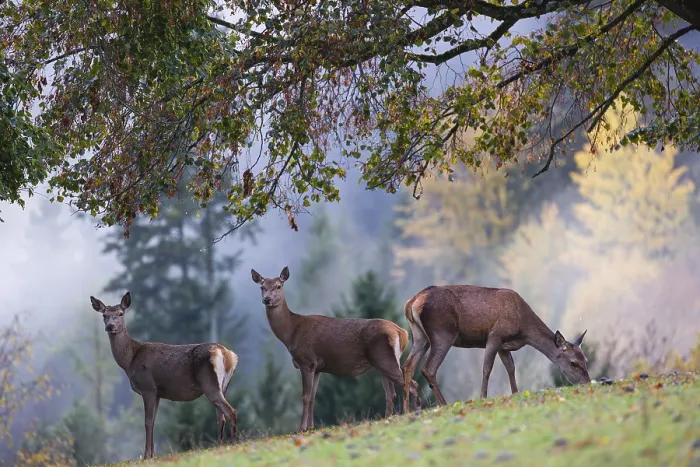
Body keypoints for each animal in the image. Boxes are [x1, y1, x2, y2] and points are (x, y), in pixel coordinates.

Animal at [90, 292, 239, 459]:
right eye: (104, 315)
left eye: (121, 313)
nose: (110, 326)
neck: (130, 360)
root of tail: (227, 355)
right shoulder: (158, 392)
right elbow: (153, 421)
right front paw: (152, 454)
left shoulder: (148, 387)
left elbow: (147, 422)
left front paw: (146, 455)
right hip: (224, 385)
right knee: (221, 416)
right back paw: (220, 446)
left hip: (209, 382)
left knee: (230, 411)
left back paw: (234, 443)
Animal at [251, 266, 421, 432]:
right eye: (262, 287)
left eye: (279, 286)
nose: (267, 299)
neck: (291, 333)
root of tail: (401, 332)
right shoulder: (317, 367)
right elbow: (312, 397)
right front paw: (311, 427)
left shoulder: (306, 361)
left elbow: (305, 396)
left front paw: (302, 428)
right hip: (383, 362)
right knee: (391, 393)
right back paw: (389, 417)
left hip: (385, 359)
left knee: (411, 384)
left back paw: (413, 412)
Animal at [401, 285, 591, 413]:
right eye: (573, 363)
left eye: (586, 360)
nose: (587, 382)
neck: (524, 329)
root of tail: (411, 303)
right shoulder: (495, 335)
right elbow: (487, 368)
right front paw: (483, 397)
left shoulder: (504, 346)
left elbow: (511, 367)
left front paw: (515, 393)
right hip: (443, 333)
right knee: (428, 368)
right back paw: (444, 404)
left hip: (419, 337)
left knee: (407, 366)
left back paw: (406, 410)